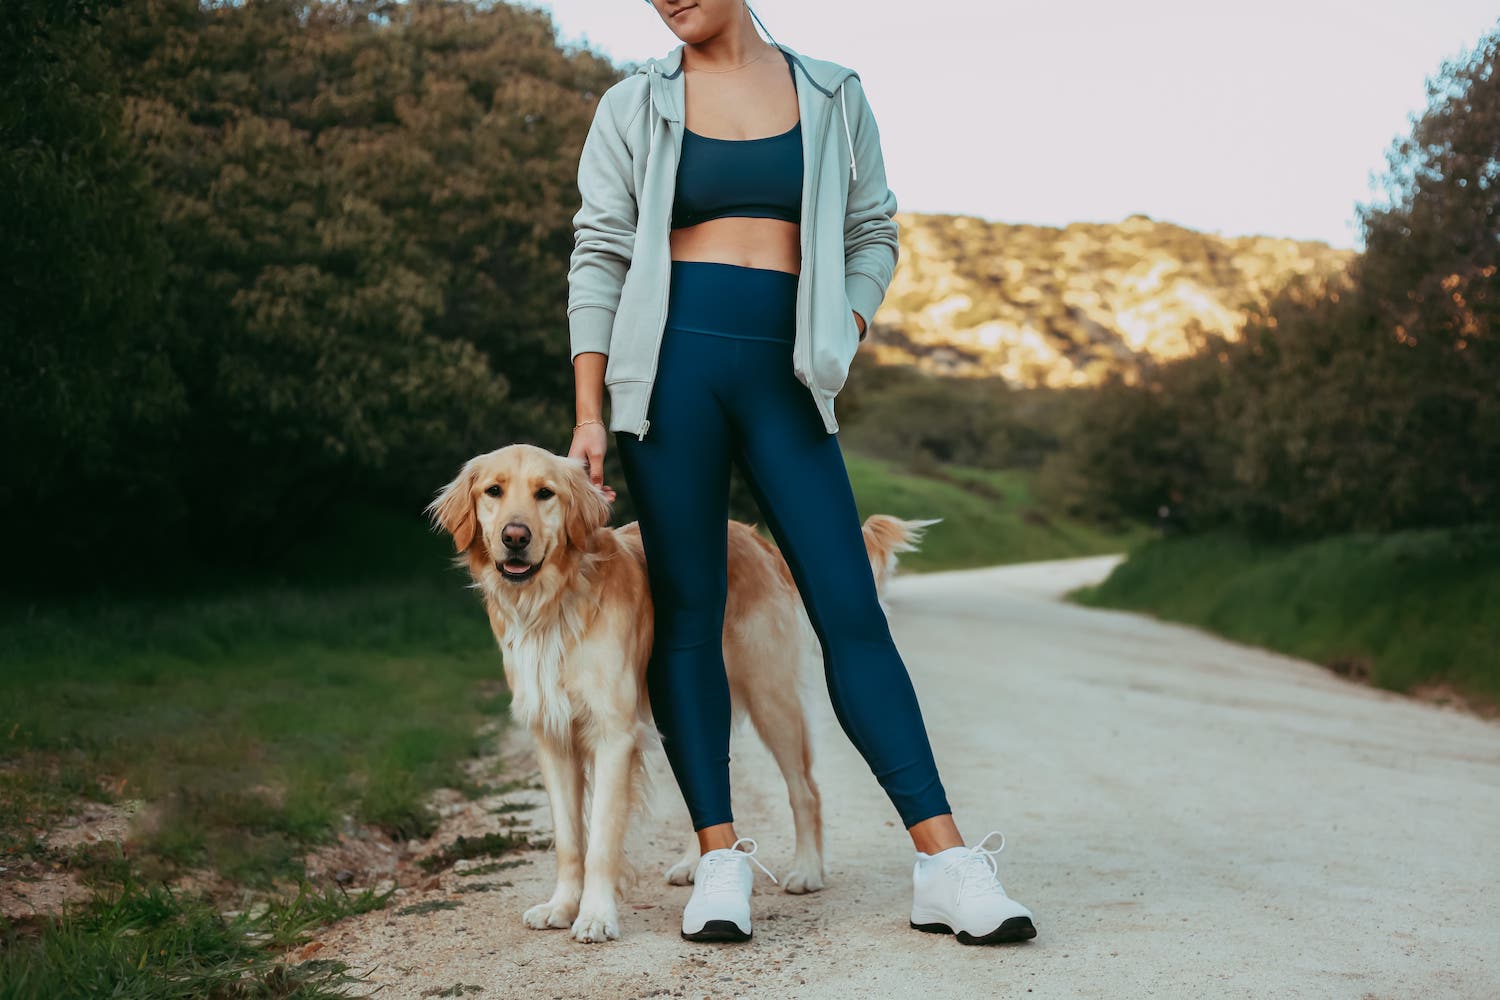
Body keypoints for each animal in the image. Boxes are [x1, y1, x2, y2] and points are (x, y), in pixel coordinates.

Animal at [426, 440, 936, 941]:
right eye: (494, 491)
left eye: (545, 493)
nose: (515, 536)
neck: (555, 602)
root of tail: (754, 538)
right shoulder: (552, 736)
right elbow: (569, 841)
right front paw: (562, 906)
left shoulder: (614, 734)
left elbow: (601, 841)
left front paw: (595, 916)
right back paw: (699, 864)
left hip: (769, 695)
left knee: (805, 790)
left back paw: (807, 870)